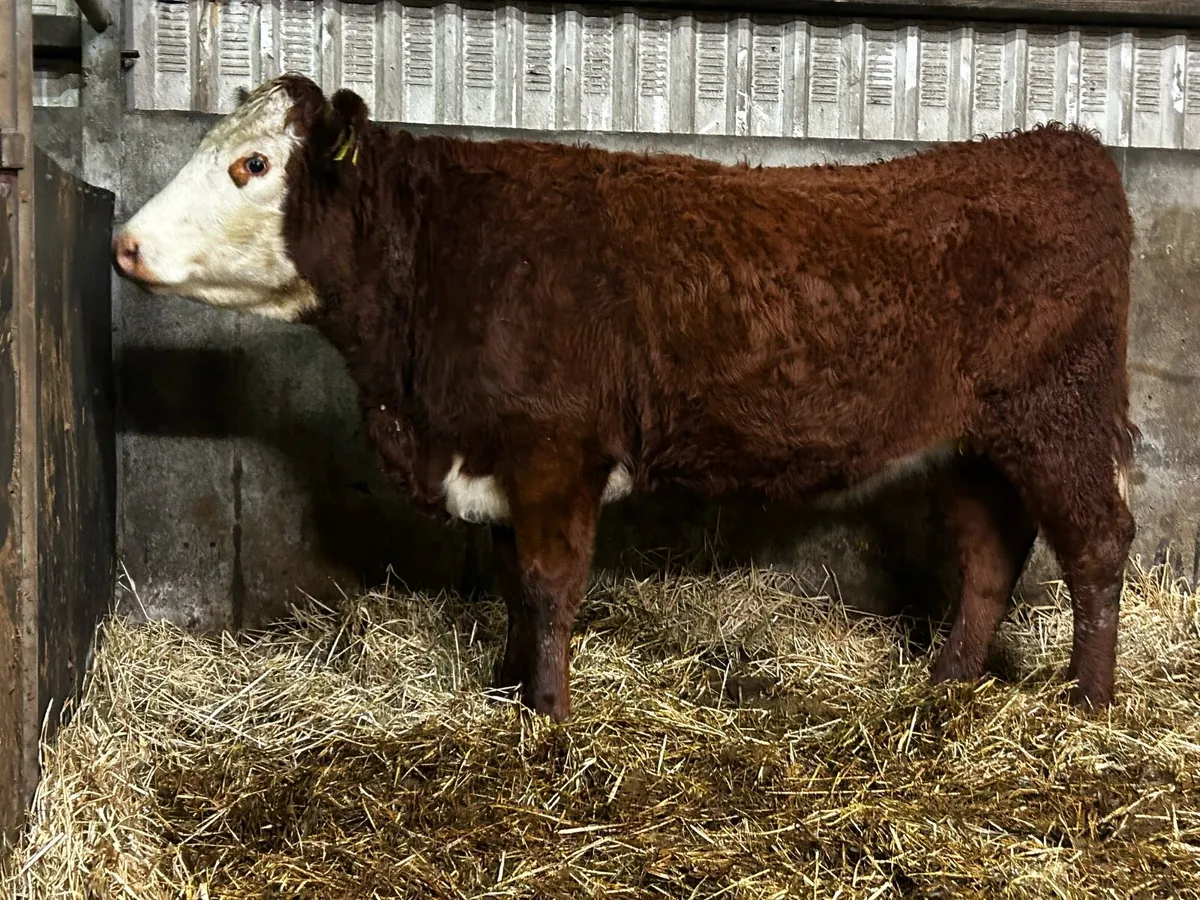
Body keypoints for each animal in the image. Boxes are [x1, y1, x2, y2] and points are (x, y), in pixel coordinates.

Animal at [112, 73, 1137, 722]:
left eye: (252, 165)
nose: (124, 244)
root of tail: (1063, 149)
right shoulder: (498, 460)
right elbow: (511, 585)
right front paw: (506, 687)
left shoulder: (555, 451)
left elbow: (548, 583)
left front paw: (549, 716)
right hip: (973, 443)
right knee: (990, 558)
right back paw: (947, 680)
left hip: (1060, 416)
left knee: (1096, 544)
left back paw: (1086, 703)